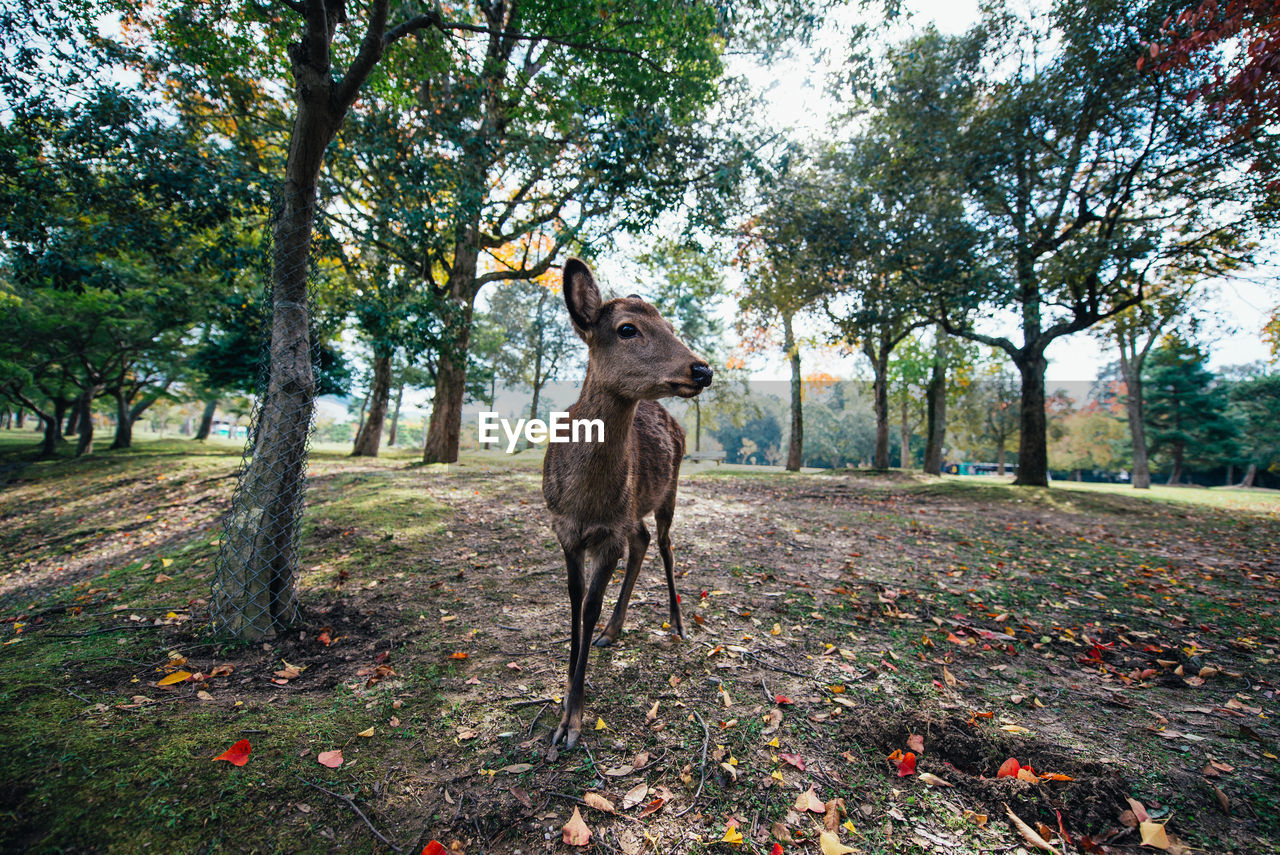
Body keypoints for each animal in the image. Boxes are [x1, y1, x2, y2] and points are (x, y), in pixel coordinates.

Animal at [542, 255, 716, 747]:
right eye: (627, 329)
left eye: (671, 326)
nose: (702, 370)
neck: (586, 501)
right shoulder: (565, 531)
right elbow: (575, 605)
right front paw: (566, 695)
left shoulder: (608, 536)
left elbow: (590, 605)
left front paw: (571, 722)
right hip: (635, 508)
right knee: (642, 540)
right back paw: (612, 631)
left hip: (669, 490)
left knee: (665, 545)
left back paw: (677, 625)